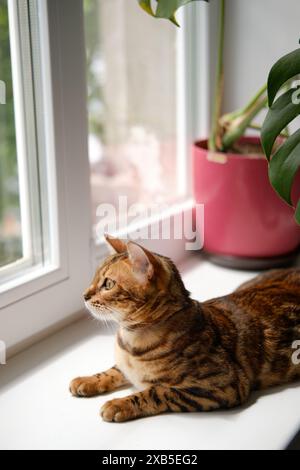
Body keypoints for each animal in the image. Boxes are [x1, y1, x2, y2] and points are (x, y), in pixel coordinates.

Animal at [70, 235, 300, 422]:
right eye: (94, 279)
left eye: (108, 284)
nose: (83, 296)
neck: (130, 340)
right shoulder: (124, 365)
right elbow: (114, 370)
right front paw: (87, 380)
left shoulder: (223, 385)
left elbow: (158, 392)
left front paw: (119, 404)